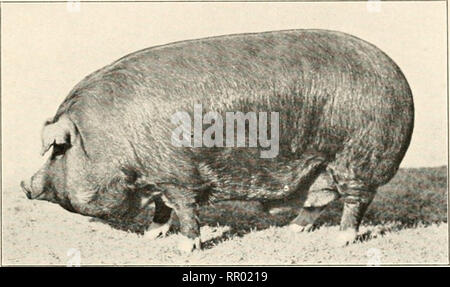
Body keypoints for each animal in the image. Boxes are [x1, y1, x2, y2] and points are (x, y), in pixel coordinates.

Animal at [21, 29, 414, 252]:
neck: (117, 140)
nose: (25, 185)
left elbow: (185, 210)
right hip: (319, 166)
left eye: (59, 149)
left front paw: (187, 249)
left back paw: (341, 241)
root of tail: (399, 77)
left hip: (357, 157)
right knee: (320, 199)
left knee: (356, 201)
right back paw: (292, 230)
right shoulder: (159, 175)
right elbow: (162, 209)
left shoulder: (178, 176)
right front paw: (152, 236)